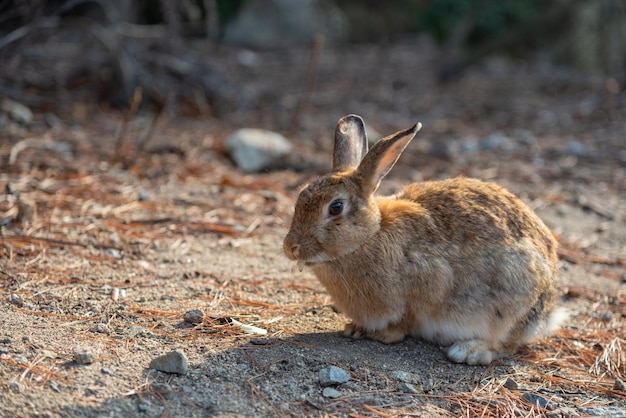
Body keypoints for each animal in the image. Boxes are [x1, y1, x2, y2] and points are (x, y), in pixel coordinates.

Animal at [282, 114, 560, 366]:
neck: (370, 235)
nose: (291, 247)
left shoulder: (428, 282)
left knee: (507, 343)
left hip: (515, 296)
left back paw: (471, 351)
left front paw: (381, 334)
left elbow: (405, 321)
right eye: (300, 197)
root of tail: (547, 310)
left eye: (336, 207)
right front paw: (355, 328)